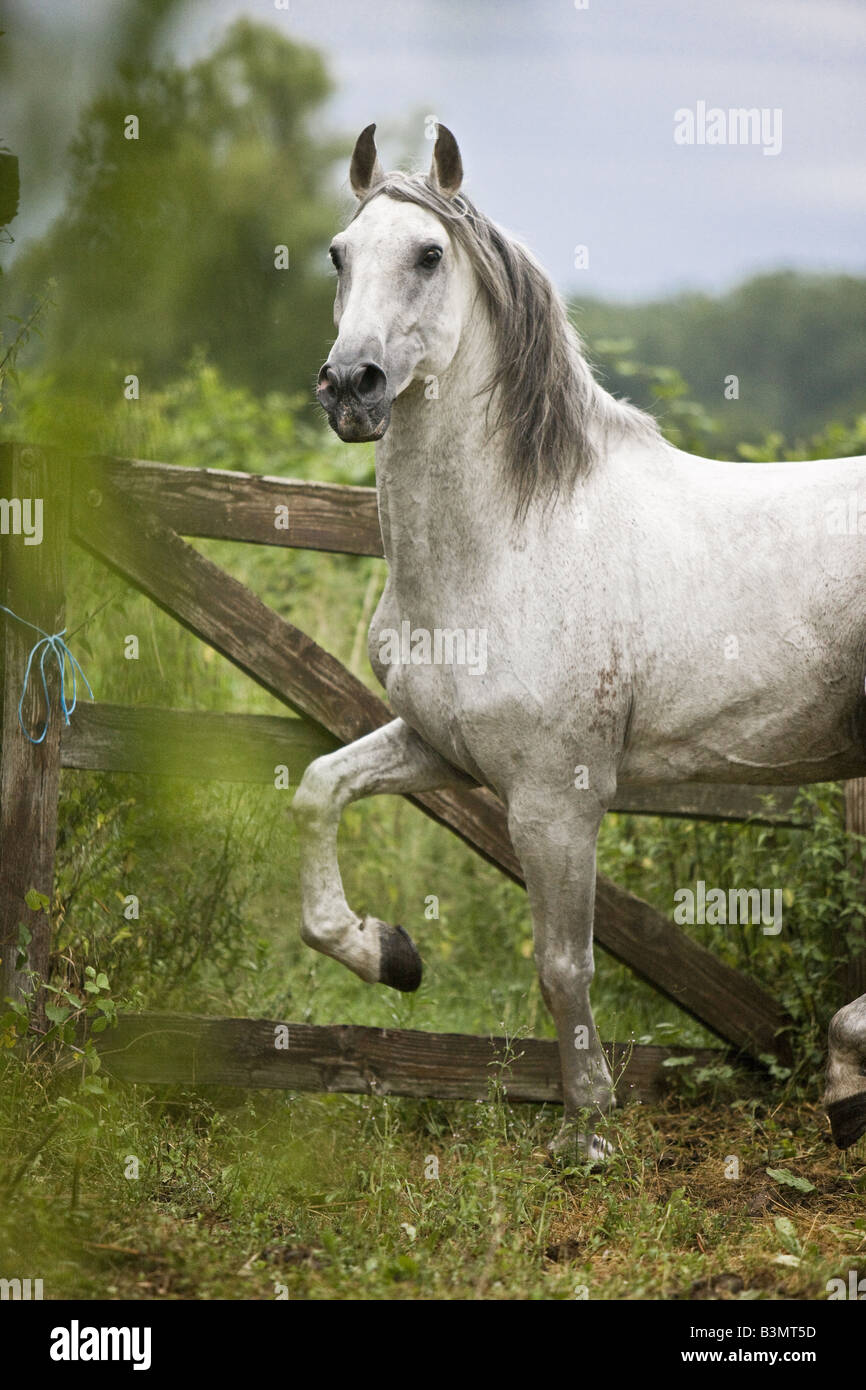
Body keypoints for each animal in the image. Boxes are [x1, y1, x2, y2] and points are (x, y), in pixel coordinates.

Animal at [294, 125, 866, 1156]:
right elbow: (318, 790)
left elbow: (564, 964)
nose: (351, 387)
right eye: (337, 254)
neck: (514, 540)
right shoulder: (443, 749)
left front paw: (588, 1130)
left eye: (429, 254)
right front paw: (390, 954)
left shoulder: (556, 800)